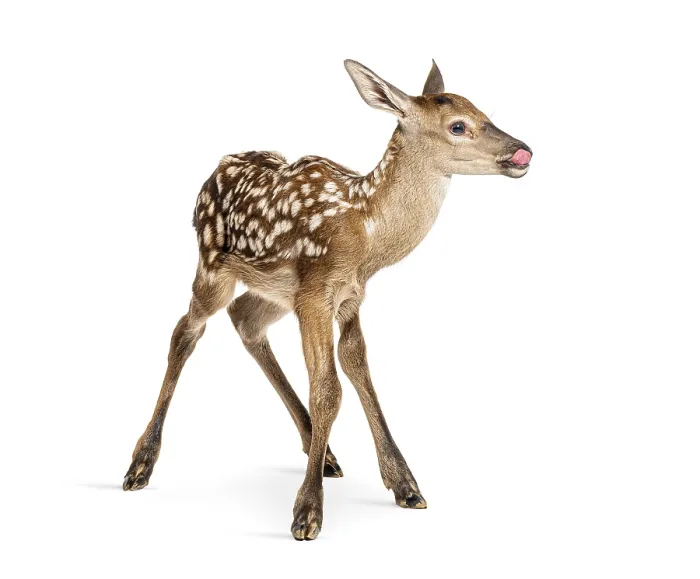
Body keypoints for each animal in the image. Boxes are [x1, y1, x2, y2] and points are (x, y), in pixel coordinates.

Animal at [122, 59, 532, 541]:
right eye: (458, 125)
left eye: (484, 111)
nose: (523, 151)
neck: (368, 234)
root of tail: (214, 171)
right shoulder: (317, 291)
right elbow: (328, 390)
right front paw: (307, 513)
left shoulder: (349, 294)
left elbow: (358, 370)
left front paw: (405, 485)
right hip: (213, 265)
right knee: (186, 331)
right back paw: (140, 464)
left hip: (276, 289)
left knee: (245, 318)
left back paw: (325, 453)